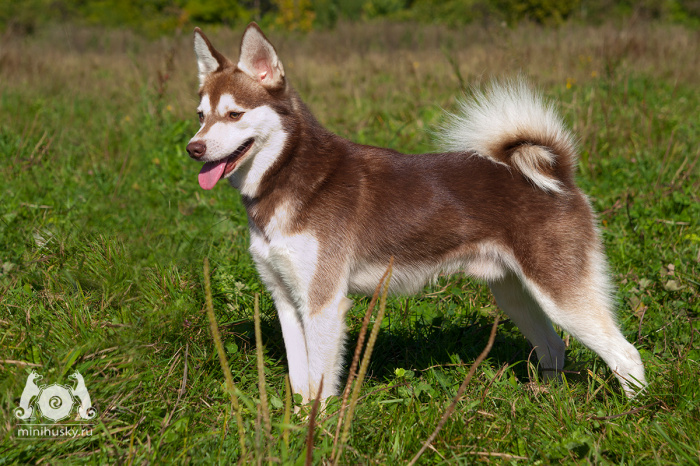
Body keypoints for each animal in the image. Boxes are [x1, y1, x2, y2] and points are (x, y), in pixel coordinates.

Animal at [185, 21, 644, 402]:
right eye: (201, 115)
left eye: (234, 114)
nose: (194, 148)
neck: (290, 177)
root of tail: (559, 174)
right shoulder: (286, 301)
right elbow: (301, 382)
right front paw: (294, 429)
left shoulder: (323, 304)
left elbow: (319, 383)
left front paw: (320, 431)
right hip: (516, 293)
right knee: (552, 347)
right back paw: (545, 399)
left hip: (562, 296)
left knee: (626, 354)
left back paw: (634, 411)